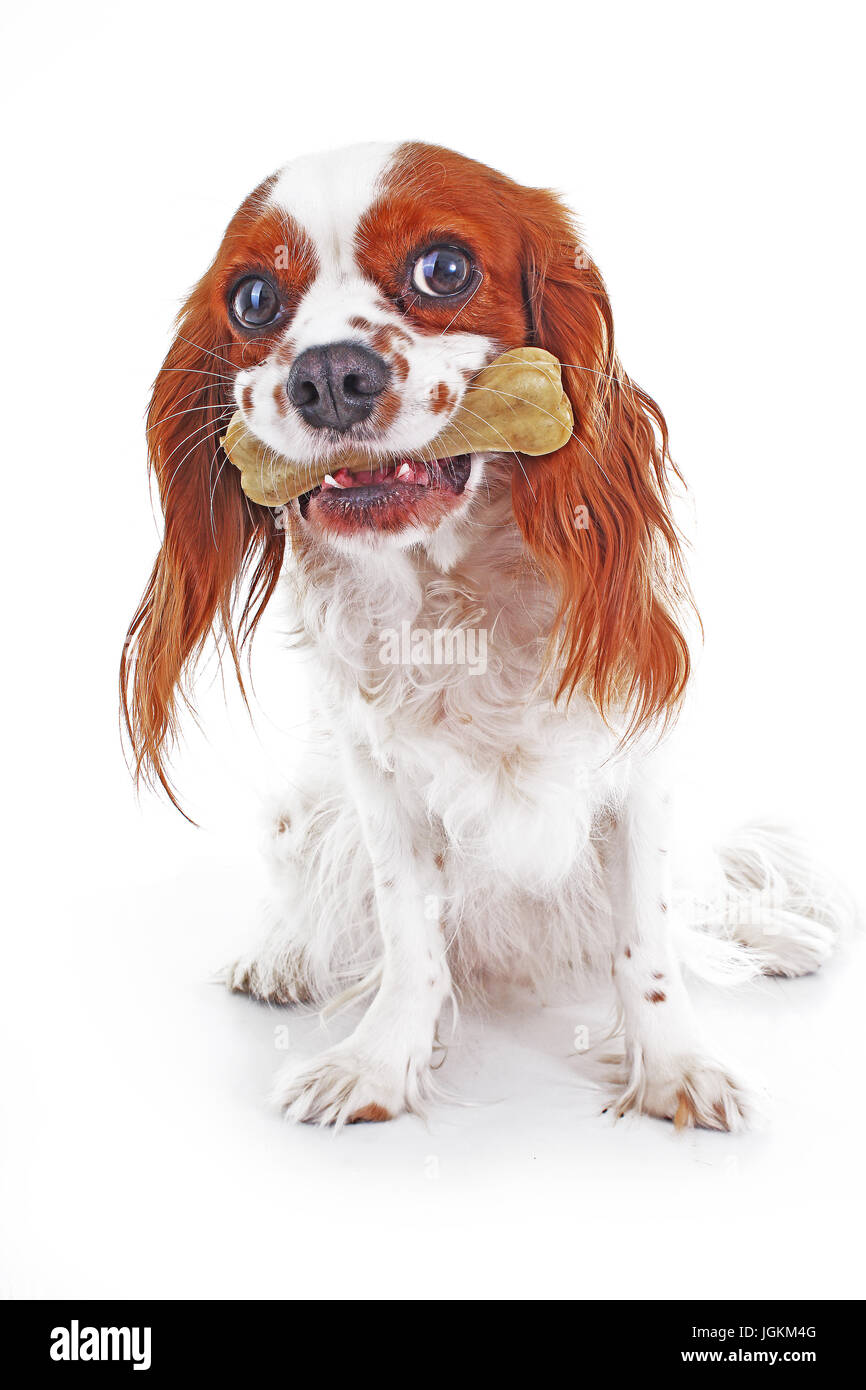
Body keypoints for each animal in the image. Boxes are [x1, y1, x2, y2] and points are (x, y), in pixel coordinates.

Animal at [122, 143, 845, 1128]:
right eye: (254, 299)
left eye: (445, 269)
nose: (330, 377)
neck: (452, 592)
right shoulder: (379, 781)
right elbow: (408, 939)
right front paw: (381, 1064)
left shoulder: (642, 767)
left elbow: (648, 942)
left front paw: (676, 1070)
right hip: (303, 806)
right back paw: (283, 956)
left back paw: (778, 937)